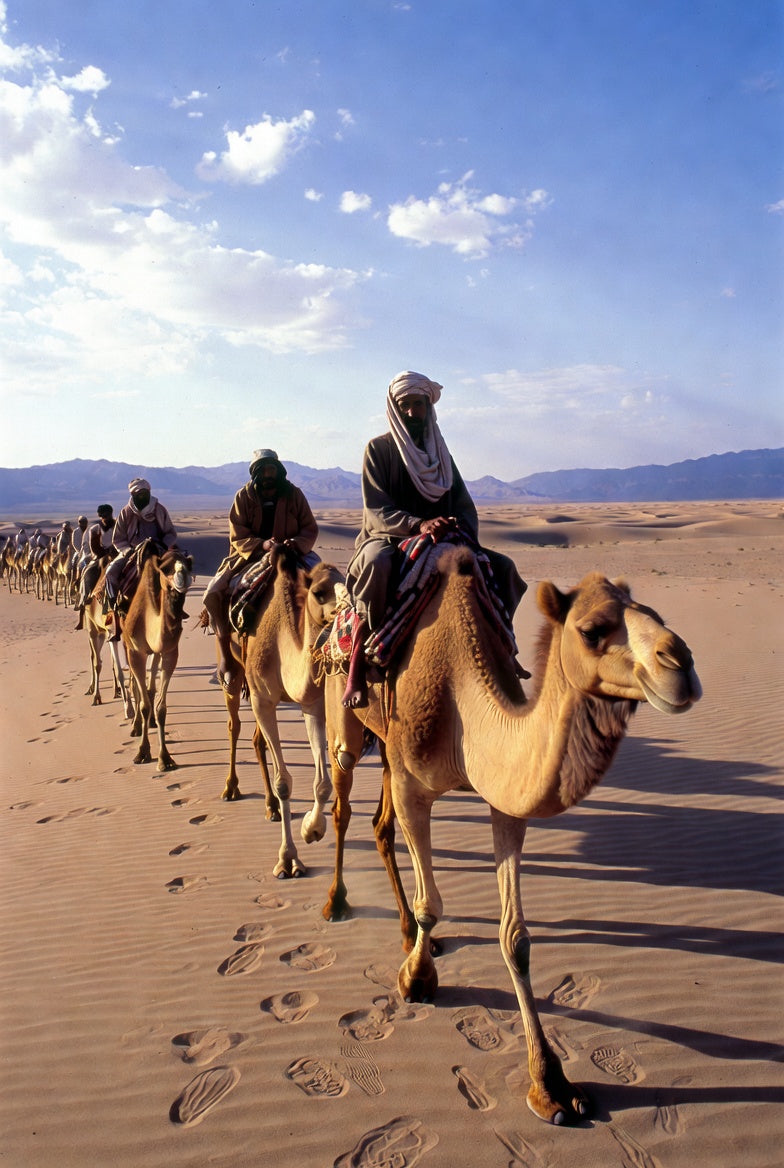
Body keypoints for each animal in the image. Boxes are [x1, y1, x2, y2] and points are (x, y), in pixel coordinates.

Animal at [122, 547, 193, 771]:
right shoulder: (136, 651)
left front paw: (165, 758)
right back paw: (136, 726)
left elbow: (161, 706)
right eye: (165, 569)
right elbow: (143, 703)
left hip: (154, 654)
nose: (182, 575)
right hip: (126, 644)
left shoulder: (169, 652)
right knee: (135, 685)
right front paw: (142, 752)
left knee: (150, 687)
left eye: (189, 564)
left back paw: (150, 722)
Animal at [215, 547, 346, 879]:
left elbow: (323, 783)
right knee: (234, 725)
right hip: (235, 671)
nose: (348, 610)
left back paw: (271, 807)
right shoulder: (262, 698)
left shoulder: (310, 702)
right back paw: (231, 788)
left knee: (257, 740)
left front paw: (312, 829)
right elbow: (284, 782)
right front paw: (288, 860)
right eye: (319, 592)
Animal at [322, 546, 701, 1126]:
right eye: (593, 630)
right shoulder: (413, 782)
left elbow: (515, 937)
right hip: (343, 713)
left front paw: (552, 1086)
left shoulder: (504, 796)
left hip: (386, 747)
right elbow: (432, 901)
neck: (461, 703)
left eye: (655, 613)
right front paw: (417, 980)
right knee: (345, 803)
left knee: (380, 826)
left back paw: (405, 931)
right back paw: (338, 902)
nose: (680, 664)